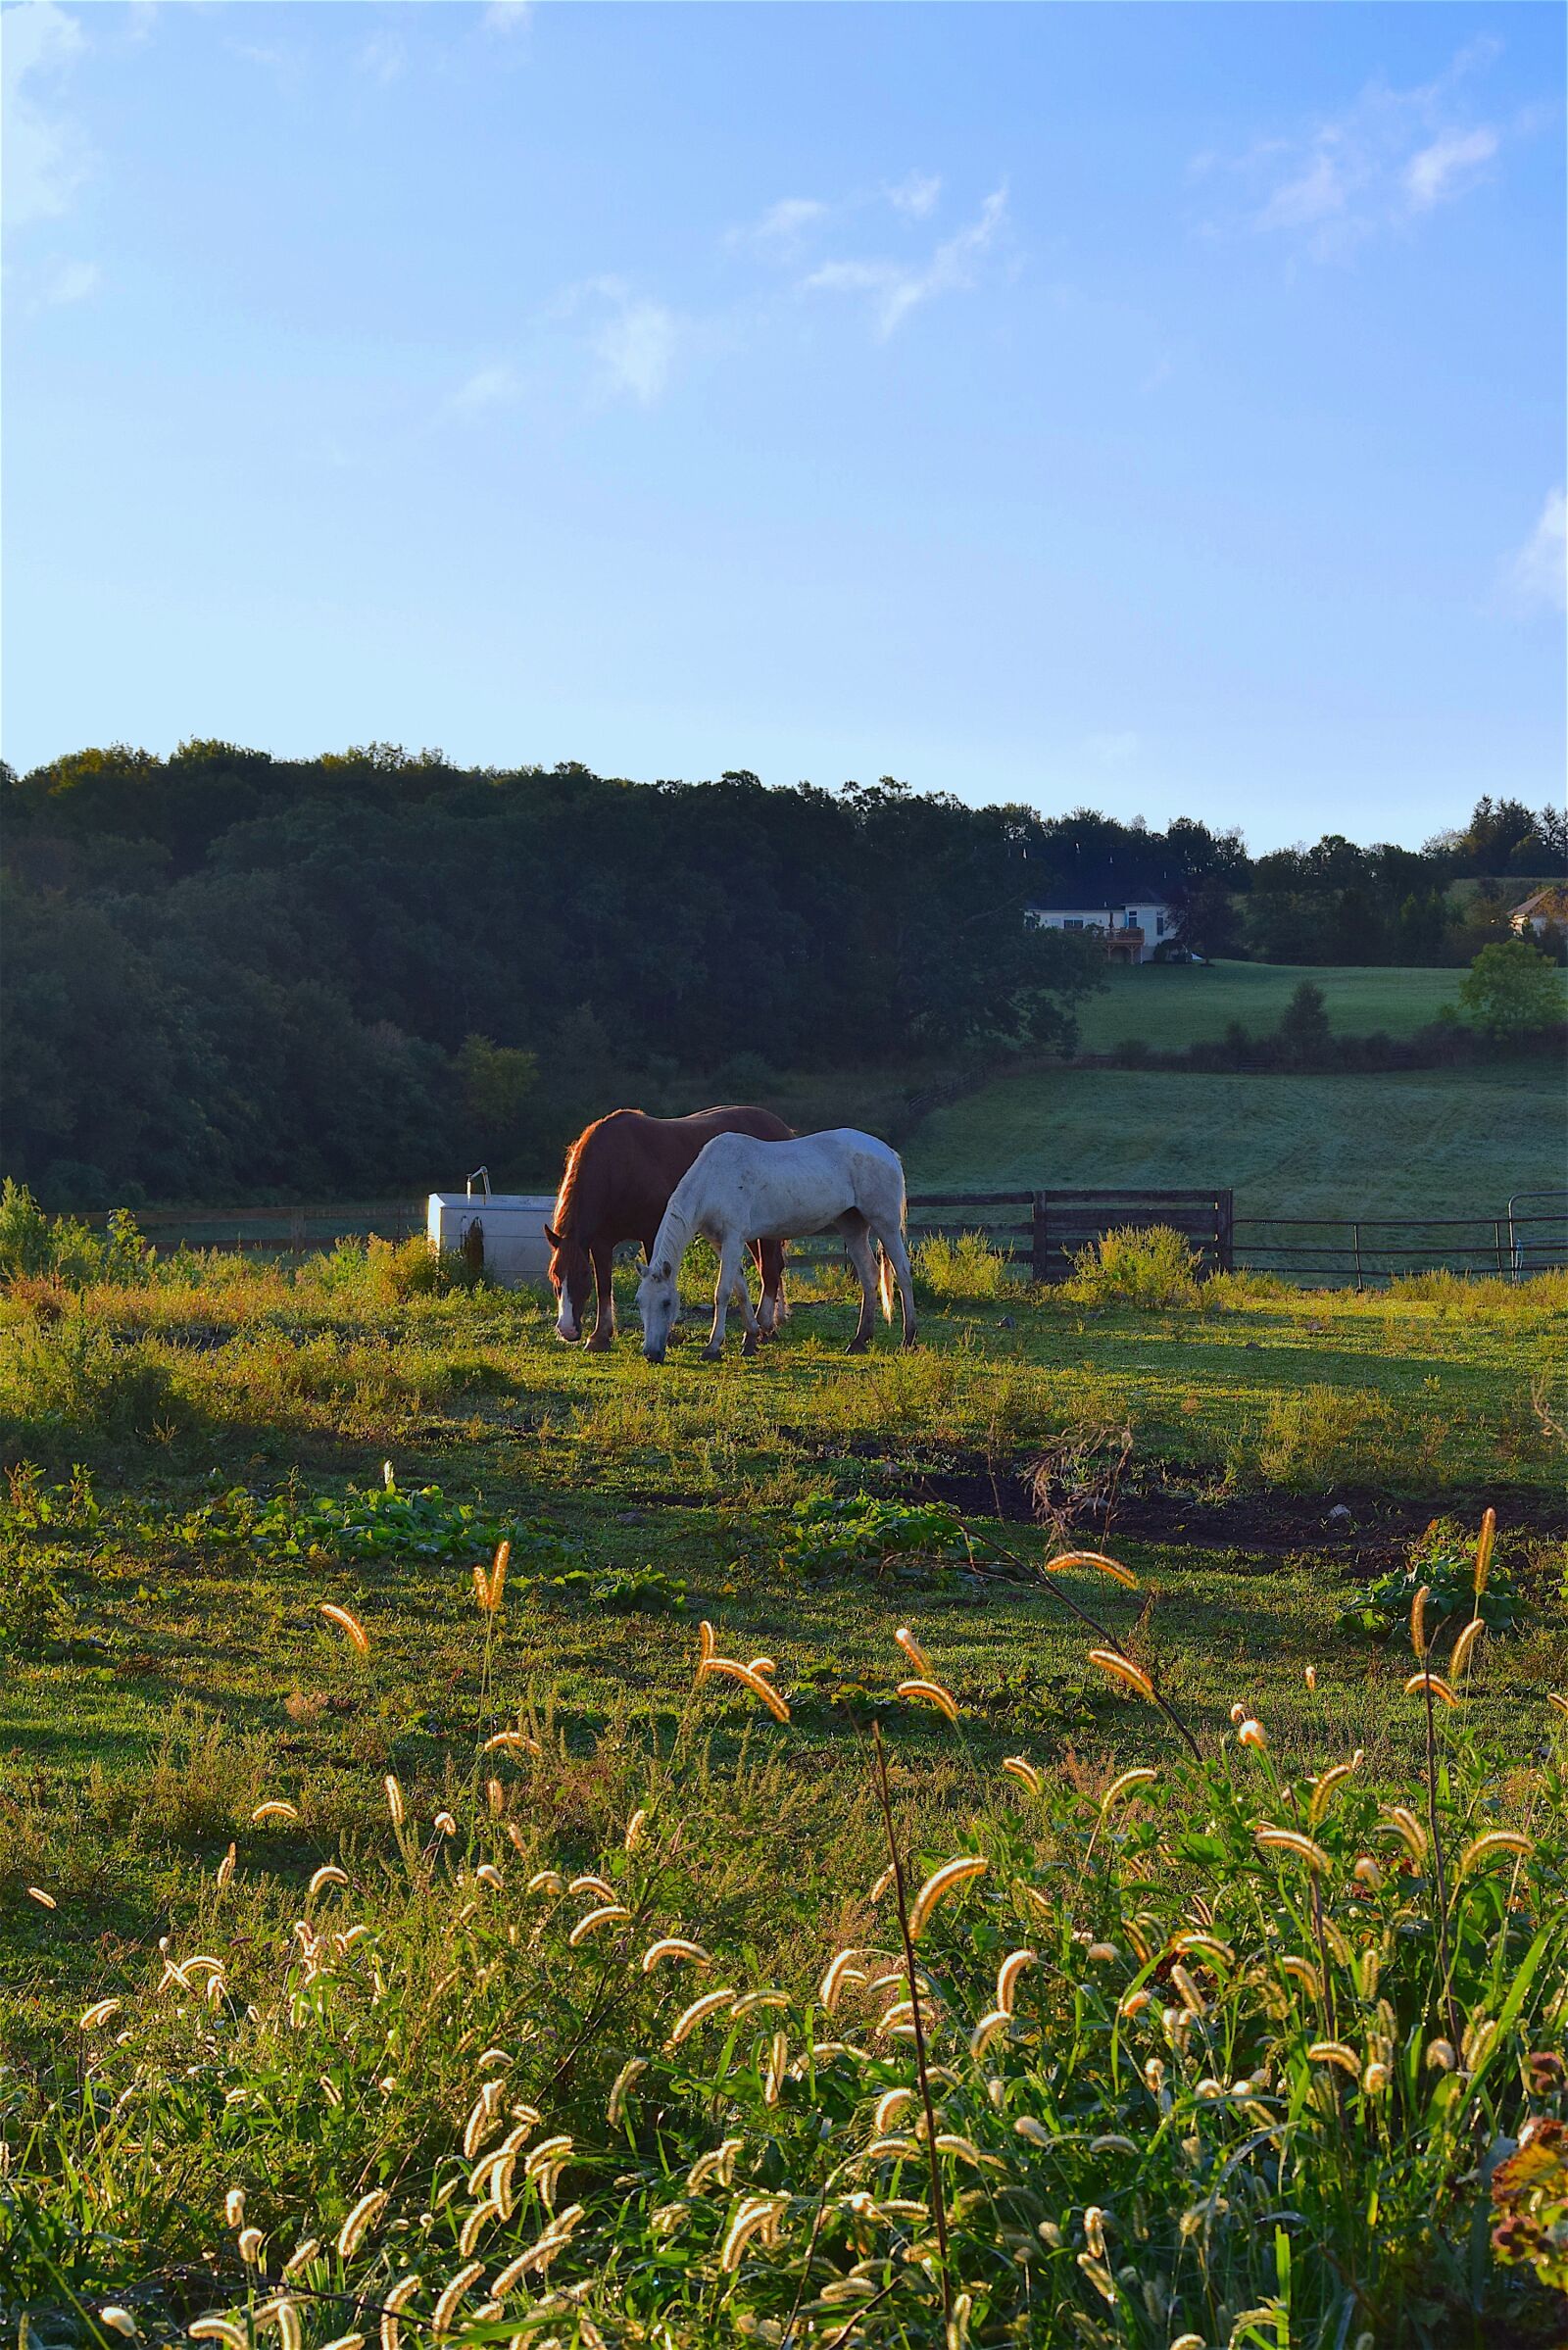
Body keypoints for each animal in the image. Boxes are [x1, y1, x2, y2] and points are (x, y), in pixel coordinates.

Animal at [545, 1105, 792, 1349]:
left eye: (582, 1274)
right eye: (555, 1275)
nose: (567, 1330)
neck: (618, 1166)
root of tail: (781, 1126)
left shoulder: (652, 1233)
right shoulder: (601, 1243)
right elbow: (604, 1286)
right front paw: (600, 1336)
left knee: (770, 1270)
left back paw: (767, 1327)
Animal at [638, 1128, 917, 1363]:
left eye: (666, 1303)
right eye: (640, 1301)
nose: (651, 1354)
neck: (713, 1179)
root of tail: (886, 1151)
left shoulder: (733, 1238)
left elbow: (723, 1292)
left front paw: (713, 1348)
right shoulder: (720, 1243)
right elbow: (740, 1290)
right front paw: (750, 1339)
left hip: (885, 1223)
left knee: (902, 1272)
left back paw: (909, 1338)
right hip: (852, 1226)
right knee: (869, 1275)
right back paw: (859, 1340)